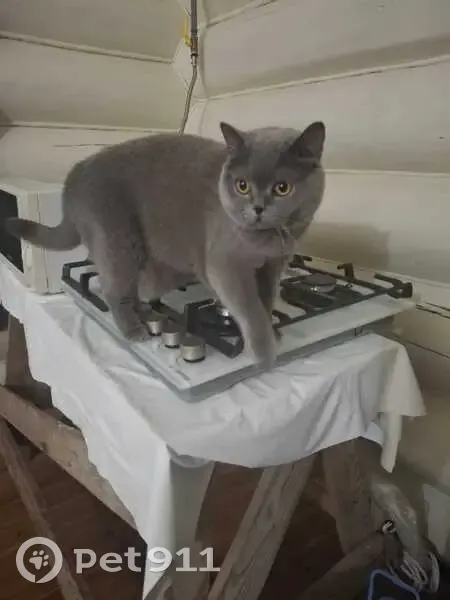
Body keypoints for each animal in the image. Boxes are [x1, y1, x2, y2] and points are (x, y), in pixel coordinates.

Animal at [5, 121, 326, 368]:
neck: (267, 241)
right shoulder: (225, 263)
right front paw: (263, 352)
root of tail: (70, 180)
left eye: (282, 188)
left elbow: (267, 300)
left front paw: (274, 330)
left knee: (131, 288)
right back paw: (133, 329)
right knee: (113, 289)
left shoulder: (273, 266)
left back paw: (147, 313)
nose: (257, 208)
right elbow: (249, 307)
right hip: (118, 239)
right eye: (242, 186)